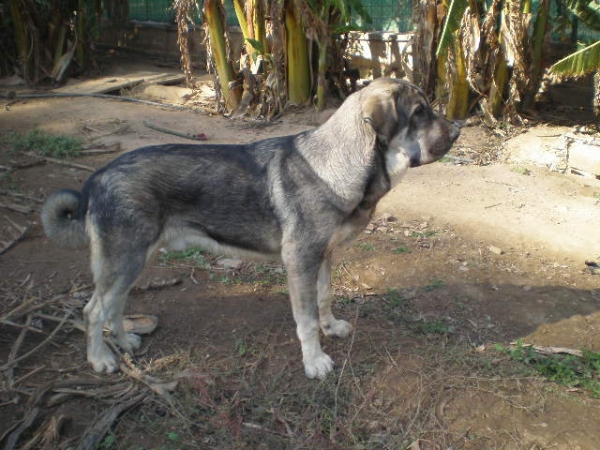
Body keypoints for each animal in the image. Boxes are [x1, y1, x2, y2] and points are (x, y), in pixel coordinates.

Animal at [42, 78, 462, 380]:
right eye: (419, 112)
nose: (459, 129)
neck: (340, 163)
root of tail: (98, 177)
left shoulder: (323, 257)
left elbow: (324, 298)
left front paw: (332, 327)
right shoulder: (300, 262)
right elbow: (306, 319)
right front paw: (315, 362)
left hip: (136, 261)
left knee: (113, 305)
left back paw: (125, 339)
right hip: (125, 260)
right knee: (92, 311)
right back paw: (100, 359)